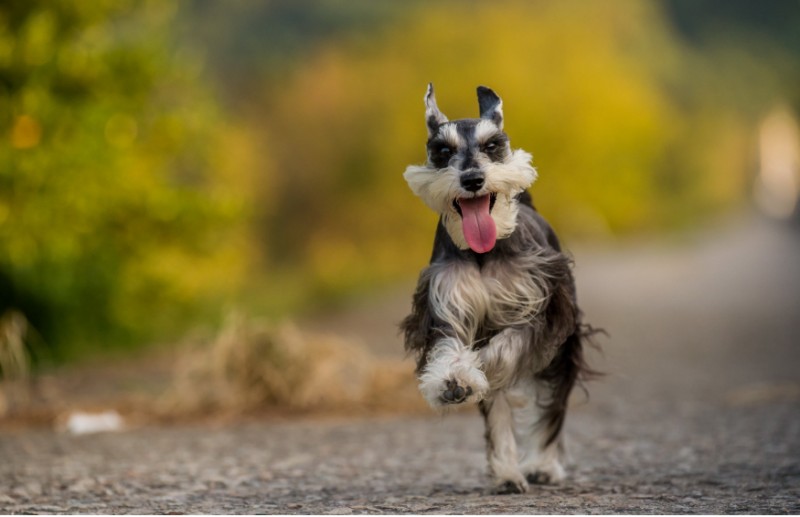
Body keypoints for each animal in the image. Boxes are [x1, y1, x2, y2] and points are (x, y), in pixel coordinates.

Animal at [400, 82, 592, 494]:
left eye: (492, 145)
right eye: (443, 151)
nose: (473, 179)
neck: (484, 253)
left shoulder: (540, 312)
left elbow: (505, 350)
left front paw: (476, 369)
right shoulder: (447, 306)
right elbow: (452, 350)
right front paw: (452, 379)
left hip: (563, 348)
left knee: (552, 406)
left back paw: (542, 465)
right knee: (499, 410)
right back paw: (507, 472)